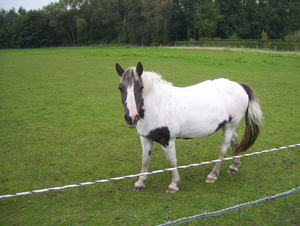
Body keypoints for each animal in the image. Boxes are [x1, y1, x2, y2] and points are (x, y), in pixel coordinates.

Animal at [115, 61, 262, 192]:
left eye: (140, 87)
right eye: (120, 88)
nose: (131, 118)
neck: (157, 104)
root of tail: (239, 86)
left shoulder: (167, 140)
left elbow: (172, 161)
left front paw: (174, 184)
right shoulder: (145, 138)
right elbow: (145, 160)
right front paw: (140, 182)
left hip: (230, 126)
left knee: (223, 149)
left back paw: (213, 175)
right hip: (227, 125)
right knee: (234, 141)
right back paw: (234, 166)